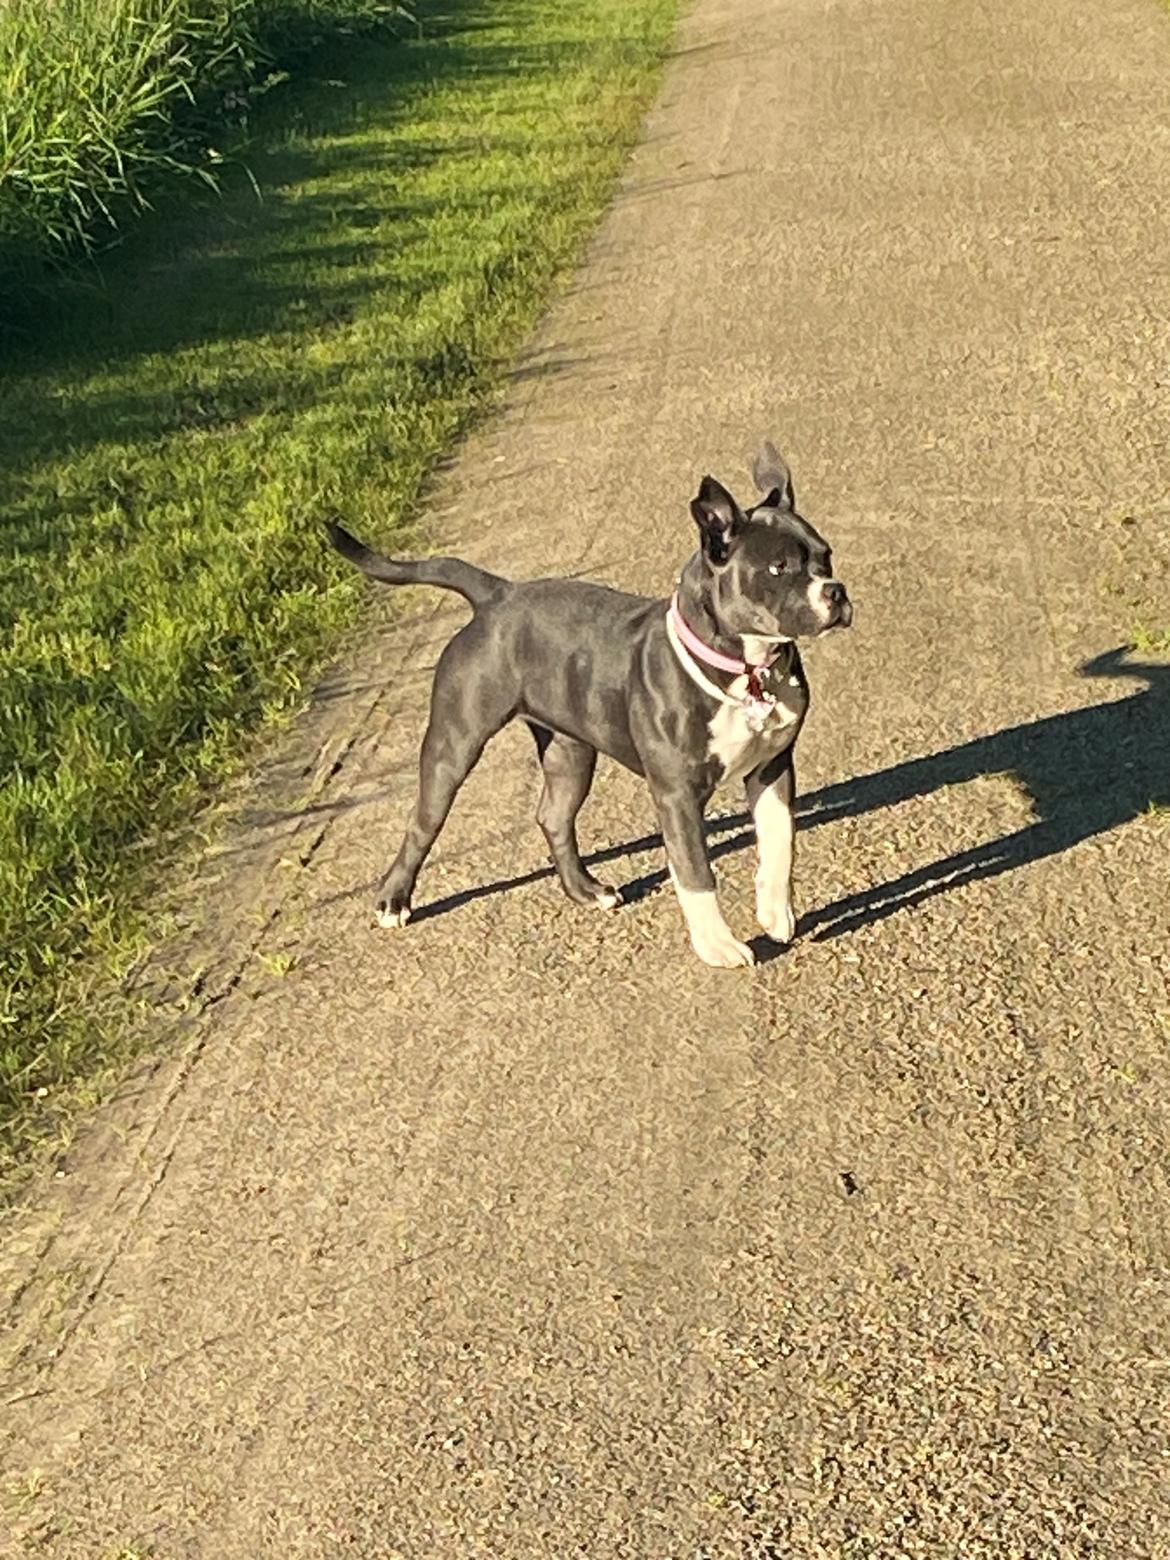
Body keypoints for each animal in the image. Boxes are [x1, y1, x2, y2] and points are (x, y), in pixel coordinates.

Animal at [327, 439, 854, 967]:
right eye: (778, 568)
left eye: (825, 557)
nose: (836, 591)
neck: (745, 672)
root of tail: (498, 595)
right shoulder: (677, 796)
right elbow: (695, 872)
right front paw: (717, 944)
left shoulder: (772, 767)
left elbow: (780, 840)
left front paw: (774, 911)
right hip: (454, 744)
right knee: (423, 822)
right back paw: (394, 900)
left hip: (570, 749)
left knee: (553, 815)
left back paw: (586, 890)